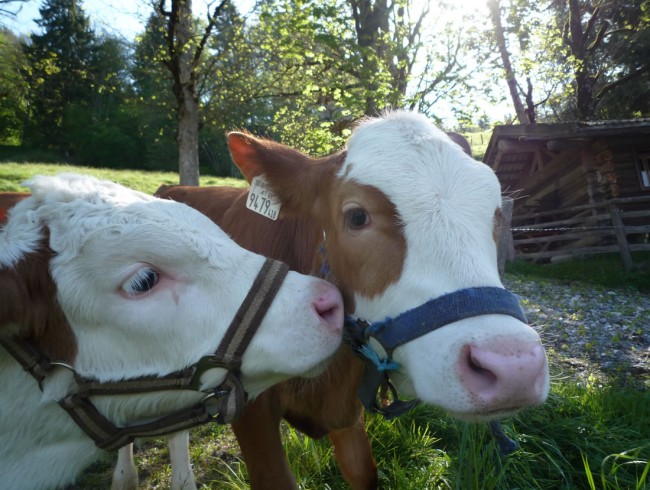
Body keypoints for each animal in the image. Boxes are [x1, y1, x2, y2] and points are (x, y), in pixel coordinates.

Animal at [117, 109, 548, 488]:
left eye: (496, 215)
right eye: (356, 216)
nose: (514, 366)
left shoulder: (349, 412)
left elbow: (364, 472)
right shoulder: (249, 413)